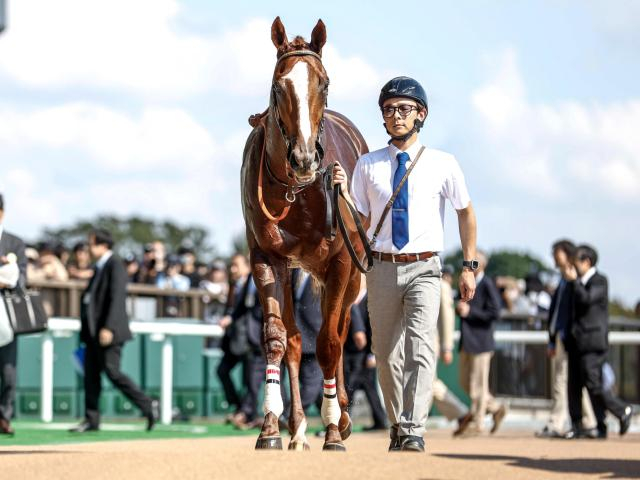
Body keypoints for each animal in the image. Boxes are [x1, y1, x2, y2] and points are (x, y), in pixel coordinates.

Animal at [240, 15, 368, 450]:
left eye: (324, 84)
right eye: (279, 86)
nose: (304, 158)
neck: (297, 193)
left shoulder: (341, 260)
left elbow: (328, 343)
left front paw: (332, 429)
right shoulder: (267, 257)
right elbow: (279, 339)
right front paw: (270, 427)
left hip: (349, 272)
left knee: (340, 332)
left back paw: (342, 416)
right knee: (297, 341)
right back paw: (296, 427)